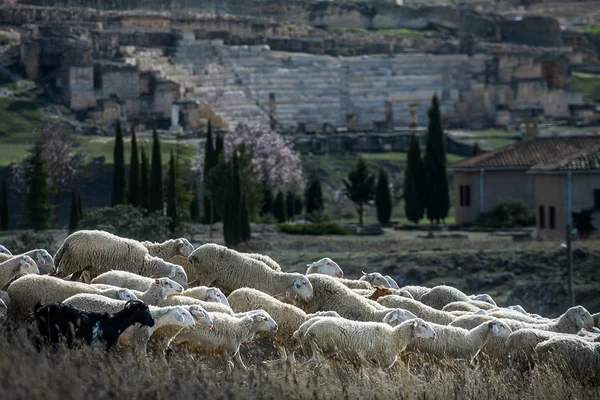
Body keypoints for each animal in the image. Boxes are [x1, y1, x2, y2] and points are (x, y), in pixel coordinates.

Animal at [56, 228, 189, 288]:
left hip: (78, 267)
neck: (146, 262)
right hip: (71, 263)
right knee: (56, 277)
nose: (186, 287)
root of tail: (67, 241)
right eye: (180, 274)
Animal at [302, 318, 434, 368]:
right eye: (423, 325)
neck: (394, 337)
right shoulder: (380, 363)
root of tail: (310, 330)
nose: (434, 335)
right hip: (321, 352)